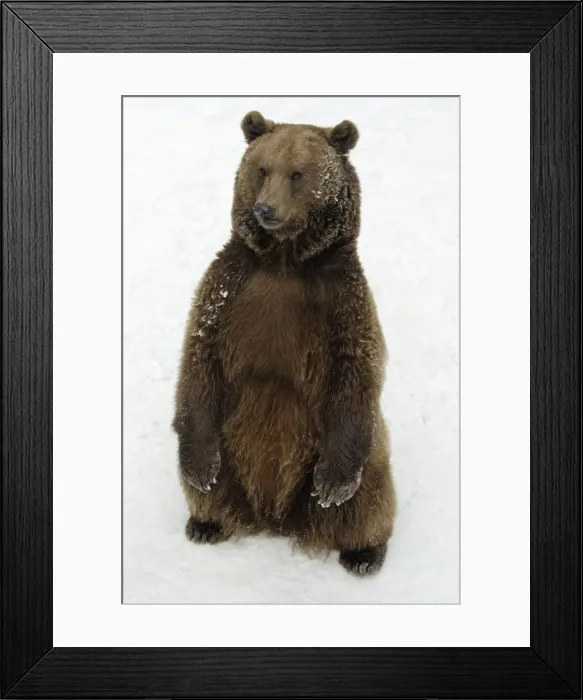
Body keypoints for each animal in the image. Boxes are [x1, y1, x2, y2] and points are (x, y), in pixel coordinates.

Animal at [173, 111, 396, 576]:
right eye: (262, 169)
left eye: (298, 173)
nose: (265, 209)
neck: (284, 261)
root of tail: (274, 518)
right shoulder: (226, 291)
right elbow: (199, 358)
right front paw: (200, 468)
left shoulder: (343, 303)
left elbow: (357, 367)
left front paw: (333, 485)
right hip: (229, 447)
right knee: (213, 487)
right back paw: (206, 523)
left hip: (352, 456)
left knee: (369, 497)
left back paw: (364, 552)